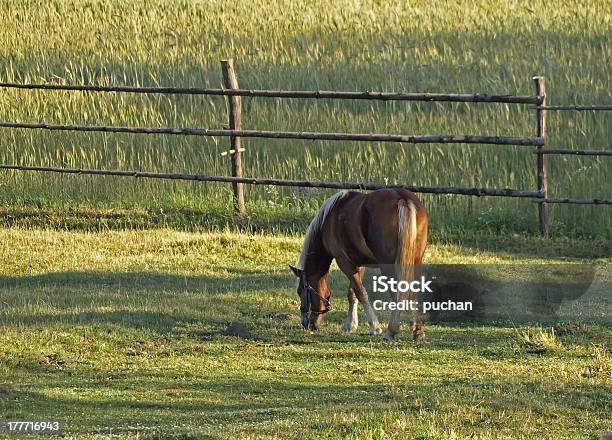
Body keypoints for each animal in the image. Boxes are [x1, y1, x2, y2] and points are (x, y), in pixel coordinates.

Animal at [290, 187, 428, 342]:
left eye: (300, 291)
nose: (306, 323)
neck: (330, 217)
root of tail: (402, 198)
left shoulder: (344, 262)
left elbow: (360, 292)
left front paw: (374, 327)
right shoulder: (358, 264)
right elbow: (352, 292)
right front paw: (350, 324)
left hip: (389, 266)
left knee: (398, 292)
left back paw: (391, 331)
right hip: (415, 261)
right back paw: (417, 331)